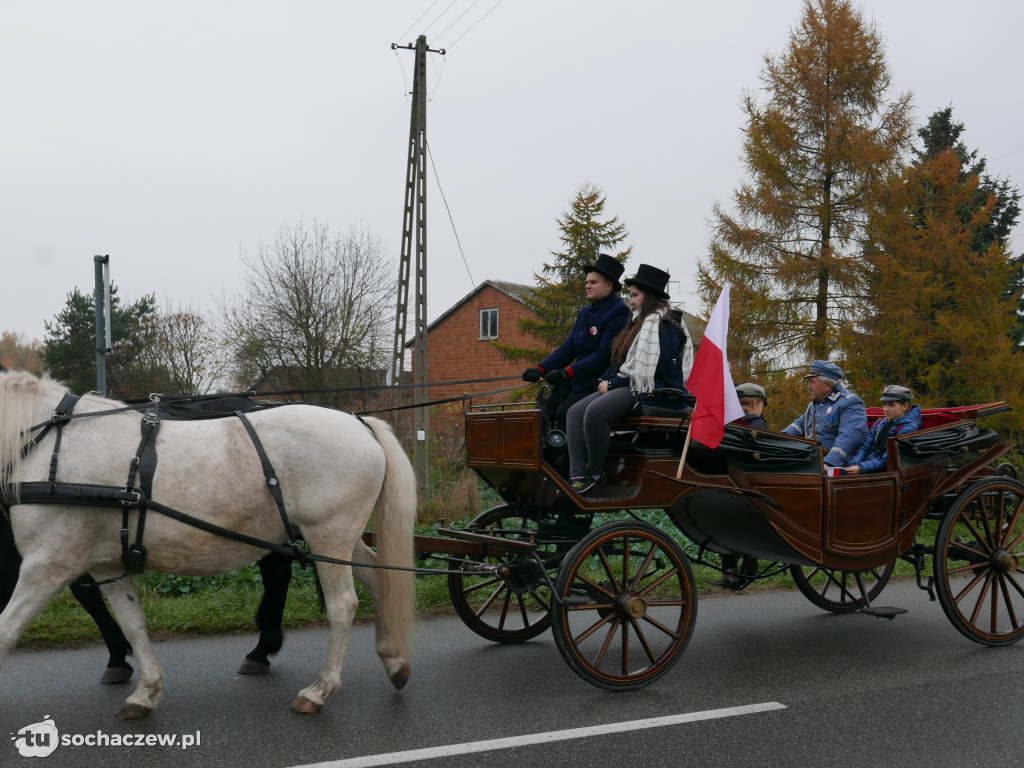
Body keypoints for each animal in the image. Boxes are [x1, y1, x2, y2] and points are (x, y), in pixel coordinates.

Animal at [1, 370, 415, 720]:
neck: (46, 446)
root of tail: (359, 422)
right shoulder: (107, 564)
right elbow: (133, 623)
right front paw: (145, 692)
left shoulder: (48, 562)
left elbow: (6, 630)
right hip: (339, 540)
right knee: (380, 583)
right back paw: (394, 662)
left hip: (328, 537)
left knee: (342, 606)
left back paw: (318, 690)